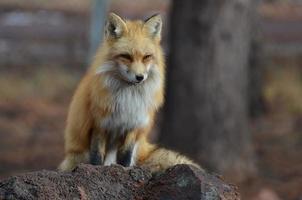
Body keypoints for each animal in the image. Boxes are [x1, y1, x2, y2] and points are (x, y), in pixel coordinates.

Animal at [58, 12, 201, 172]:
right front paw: (95, 169)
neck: (128, 97)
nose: (140, 77)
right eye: (126, 56)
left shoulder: (134, 123)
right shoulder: (99, 124)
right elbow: (97, 156)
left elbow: (125, 156)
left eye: (146, 57)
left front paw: (124, 170)